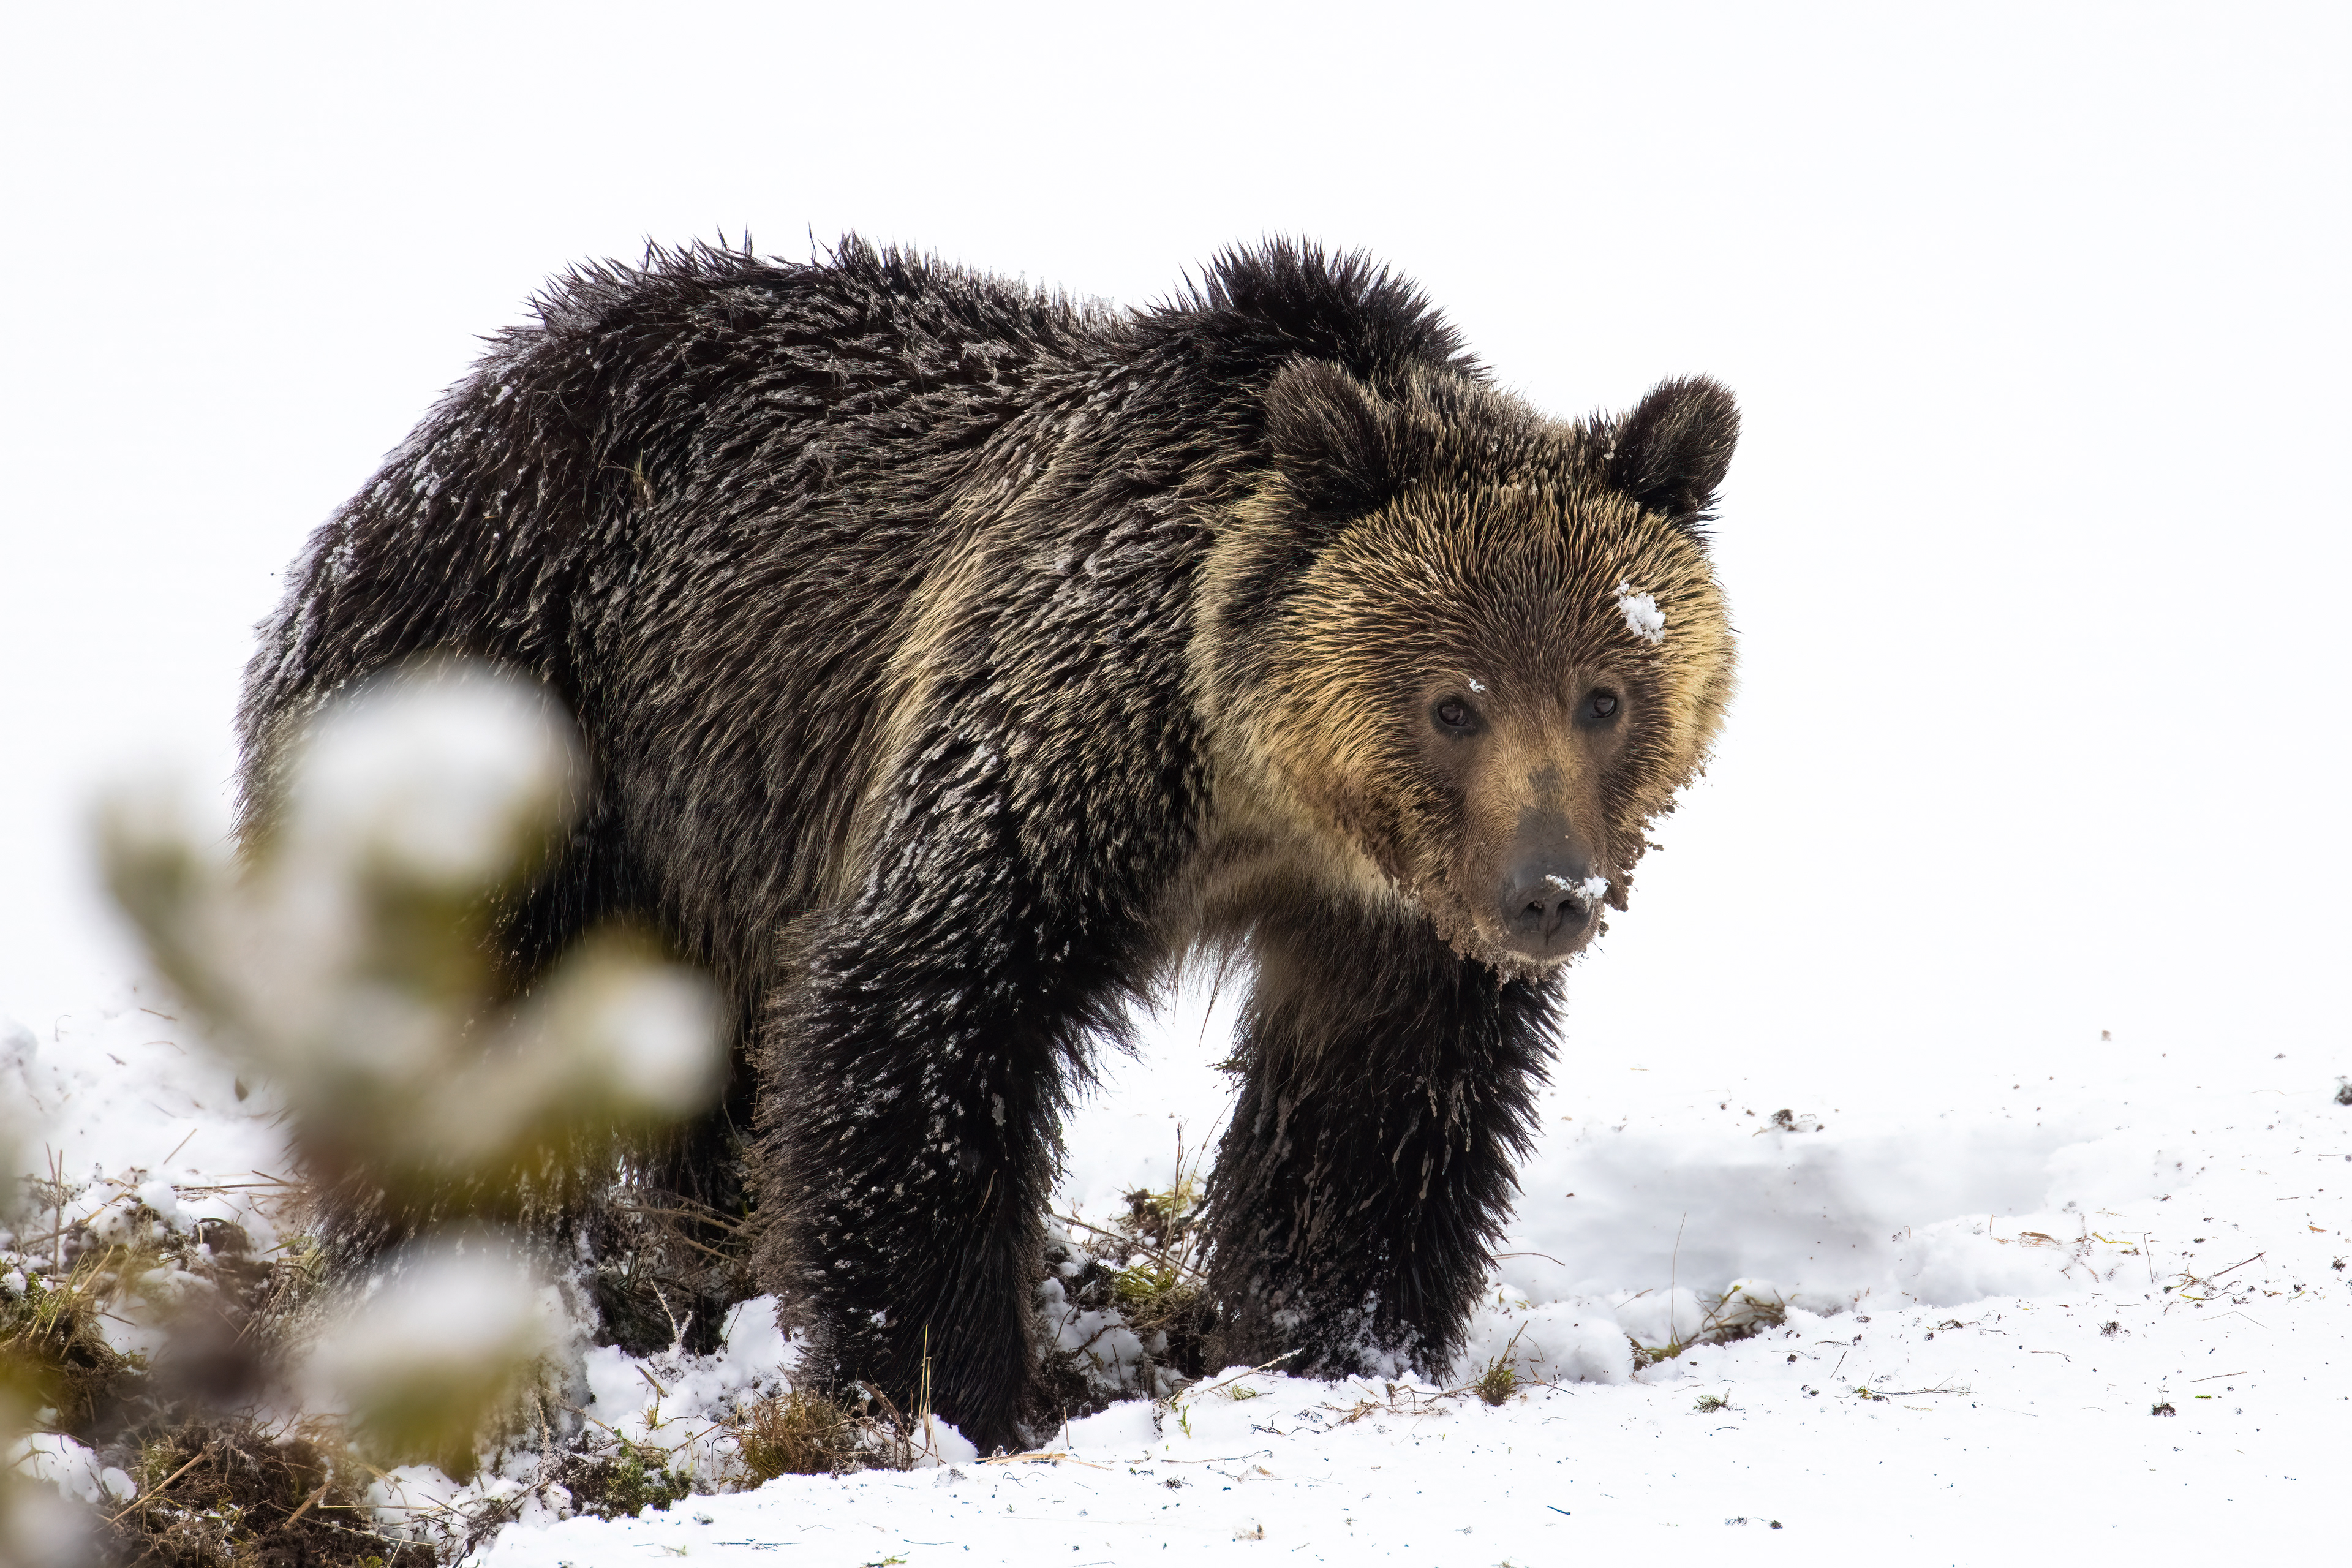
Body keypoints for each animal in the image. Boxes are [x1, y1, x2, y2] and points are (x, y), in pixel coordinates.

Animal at [237, 236, 1738, 1452]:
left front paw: (1334, 1340)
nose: (1552, 893)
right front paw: (947, 1388)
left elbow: (1377, 1113)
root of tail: (451, 423)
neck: (1260, 790)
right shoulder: (1055, 743)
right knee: (456, 1018)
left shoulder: (1385, 921)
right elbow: (923, 1014)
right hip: (509, 705)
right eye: (1453, 700)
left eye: (1607, 691)